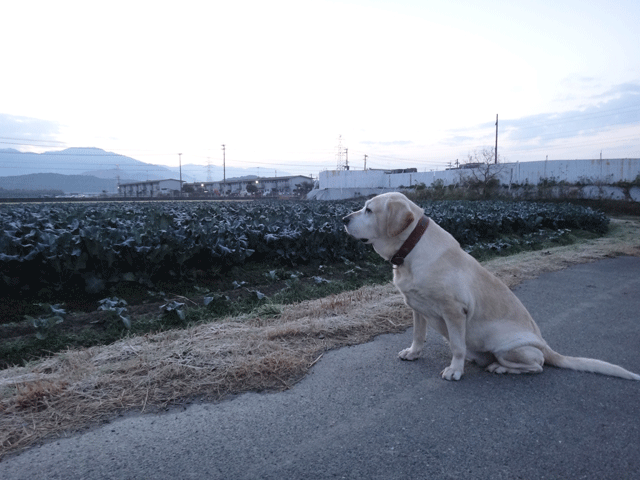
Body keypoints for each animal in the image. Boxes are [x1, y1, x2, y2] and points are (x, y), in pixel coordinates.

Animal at [344, 193, 640, 380]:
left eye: (369, 209)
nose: (344, 219)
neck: (411, 248)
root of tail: (547, 347)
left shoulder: (455, 311)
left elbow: (457, 346)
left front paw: (455, 370)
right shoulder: (416, 307)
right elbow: (418, 335)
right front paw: (413, 353)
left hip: (506, 344)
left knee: (537, 366)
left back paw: (500, 368)